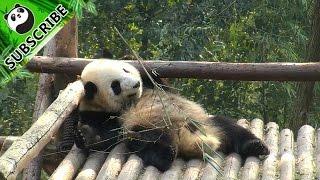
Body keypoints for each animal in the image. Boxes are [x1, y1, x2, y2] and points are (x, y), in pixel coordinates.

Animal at [76, 59, 268, 171]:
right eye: (115, 85)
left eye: (126, 70)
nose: (136, 84)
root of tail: (186, 139)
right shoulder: (107, 115)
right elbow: (106, 136)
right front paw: (85, 136)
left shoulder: (155, 86)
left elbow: (162, 84)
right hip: (146, 126)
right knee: (145, 141)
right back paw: (164, 154)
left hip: (206, 123)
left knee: (230, 127)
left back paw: (256, 146)